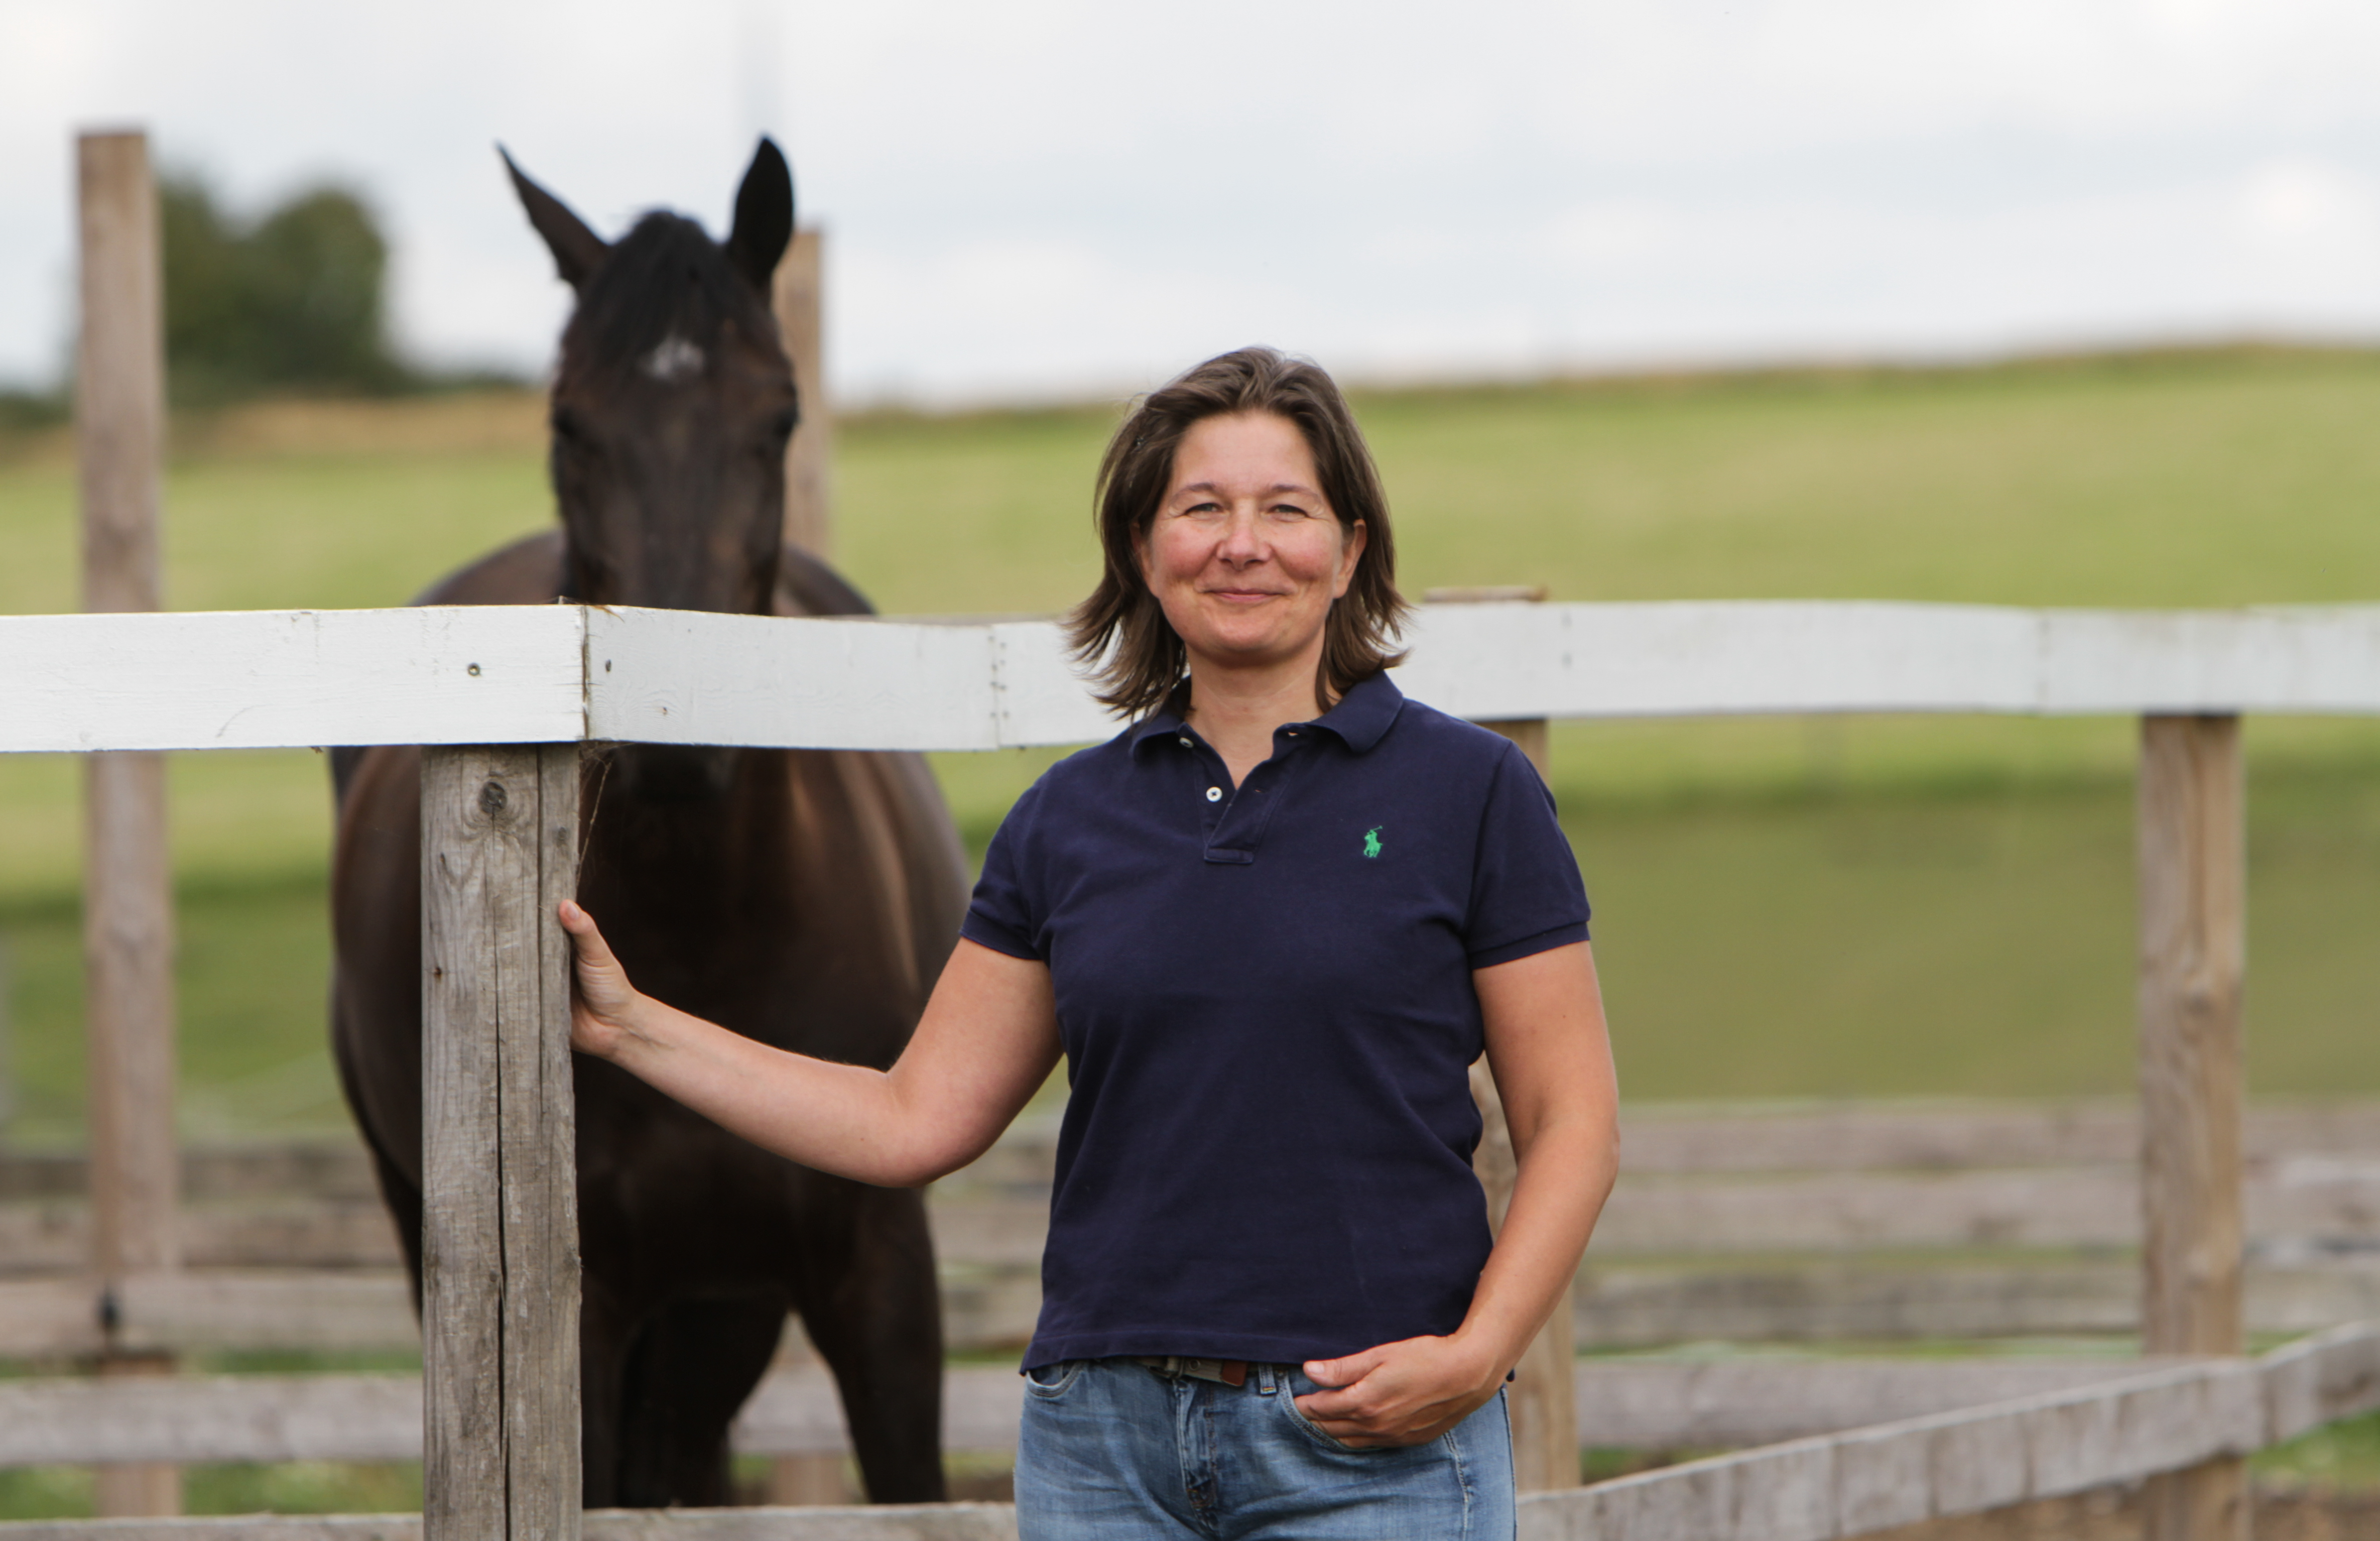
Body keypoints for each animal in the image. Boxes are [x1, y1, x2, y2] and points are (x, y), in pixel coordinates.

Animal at [329, 139, 966, 1507]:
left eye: (777, 418)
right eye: (571, 426)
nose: (679, 742)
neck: (712, 931)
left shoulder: (880, 1274)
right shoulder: (583, 1303)